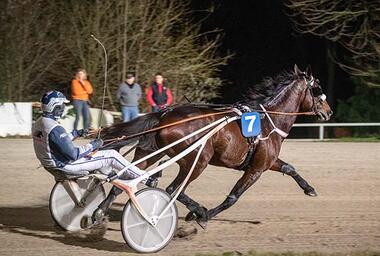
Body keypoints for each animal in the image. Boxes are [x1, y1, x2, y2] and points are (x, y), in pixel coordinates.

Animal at [98, 64, 332, 228]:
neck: (269, 121)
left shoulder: (266, 161)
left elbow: (289, 168)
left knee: (124, 180)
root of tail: (165, 115)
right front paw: (203, 216)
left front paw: (309, 189)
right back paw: (198, 210)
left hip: (150, 153)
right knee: (174, 189)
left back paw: (99, 212)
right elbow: (233, 197)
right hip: (198, 160)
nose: (328, 112)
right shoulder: (256, 169)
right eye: (317, 90)